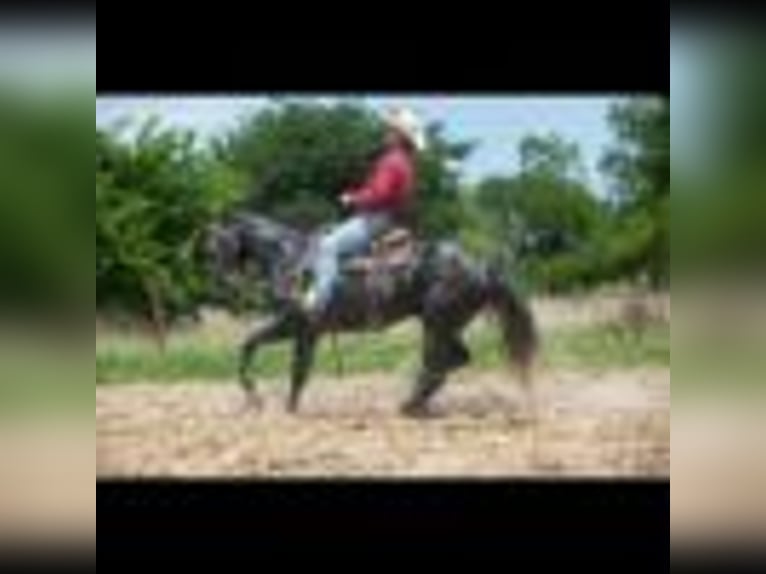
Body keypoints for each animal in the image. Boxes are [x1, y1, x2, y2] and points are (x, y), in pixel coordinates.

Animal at [204, 211, 539, 418]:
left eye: (219, 244)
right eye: (212, 248)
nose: (222, 281)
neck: (289, 260)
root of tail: (481, 267)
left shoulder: (299, 327)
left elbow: (284, 363)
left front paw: (276, 407)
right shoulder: (297, 329)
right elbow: (265, 354)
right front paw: (270, 404)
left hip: (437, 324)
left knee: (438, 364)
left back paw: (409, 405)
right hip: (443, 324)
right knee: (453, 360)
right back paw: (415, 404)